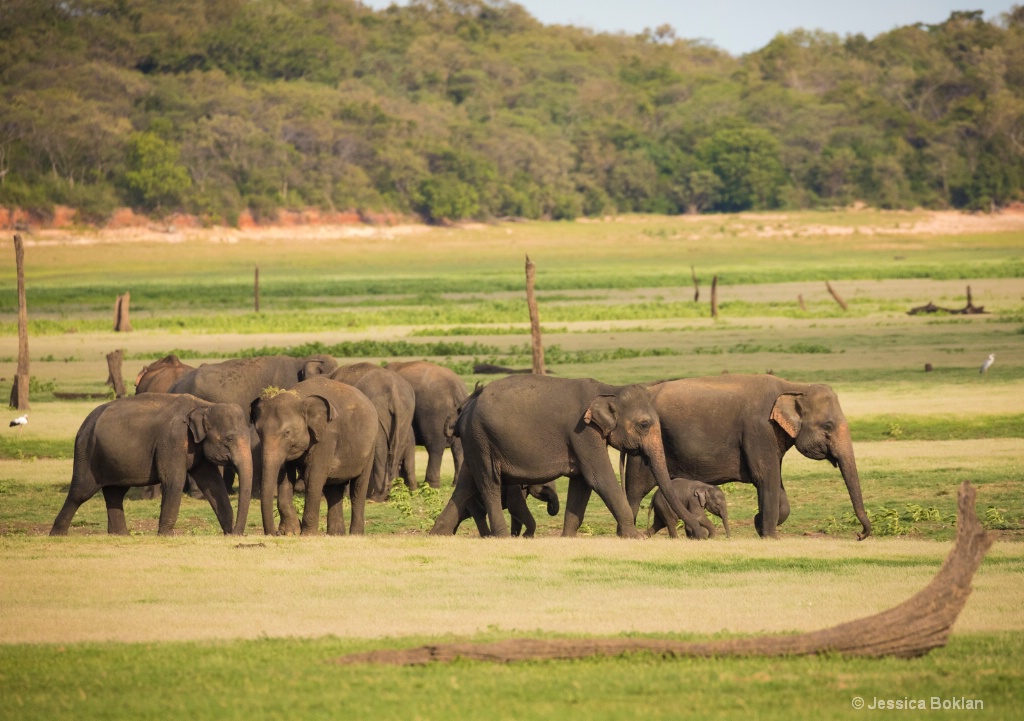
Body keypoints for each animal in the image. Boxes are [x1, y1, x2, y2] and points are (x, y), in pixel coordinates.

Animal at [49, 393, 253, 536]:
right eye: (229, 439)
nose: (237, 533)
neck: (204, 405)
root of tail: (85, 423)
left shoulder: (197, 449)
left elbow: (213, 484)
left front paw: (228, 533)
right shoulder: (172, 440)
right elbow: (174, 480)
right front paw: (167, 535)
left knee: (115, 493)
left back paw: (120, 535)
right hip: (87, 452)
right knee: (81, 492)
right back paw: (57, 534)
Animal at [333, 366, 417, 501]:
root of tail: (393, 389)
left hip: (378, 412)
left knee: (380, 450)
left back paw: (376, 498)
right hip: (407, 411)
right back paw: (390, 493)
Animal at [382, 360, 466, 489]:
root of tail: (456, 388)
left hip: (433, 413)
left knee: (435, 447)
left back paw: (430, 485)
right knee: (458, 448)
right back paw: (454, 484)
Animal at [428, 374, 708, 536]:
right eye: (644, 425)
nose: (702, 534)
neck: (609, 388)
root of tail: (467, 404)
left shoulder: (583, 438)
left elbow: (582, 484)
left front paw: (567, 537)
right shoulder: (582, 433)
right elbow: (599, 479)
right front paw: (634, 537)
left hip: (475, 441)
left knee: (466, 484)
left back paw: (437, 534)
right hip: (481, 437)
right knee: (489, 482)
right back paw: (501, 536)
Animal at [622, 374, 872, 536]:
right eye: (828, 426)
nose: (860, 535)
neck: (794, 386)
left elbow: (777, 487)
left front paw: (760, 524)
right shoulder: (759, 429)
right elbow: (766, 479)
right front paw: (770, 535)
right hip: (641, 449)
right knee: (634, 492)